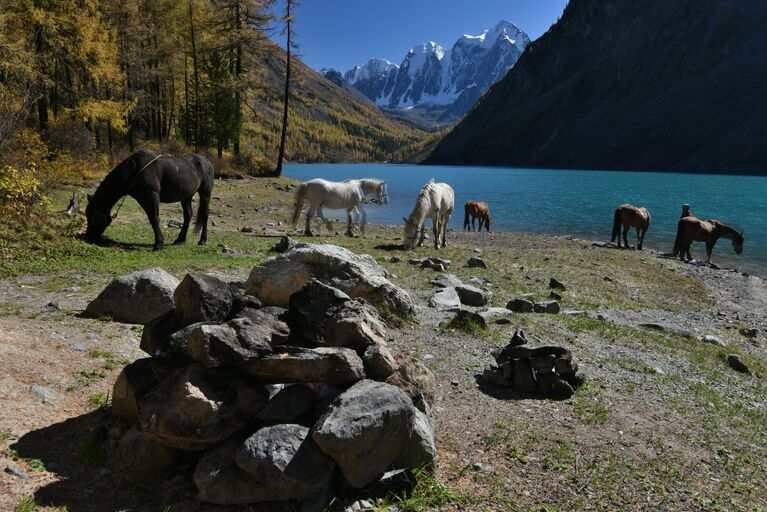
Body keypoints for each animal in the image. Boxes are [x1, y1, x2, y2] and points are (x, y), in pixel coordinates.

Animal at [85, 149, 214, 251]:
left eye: (91, 216)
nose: (88, 237)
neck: (134, 170)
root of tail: (207, 162)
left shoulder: (152, 197)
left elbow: (155, 219)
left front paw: (158, 245)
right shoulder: (143, 199)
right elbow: (152, 220)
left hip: (205, 194)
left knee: (205, 215)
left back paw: (202, 241)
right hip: (187, 196)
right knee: (188, 215)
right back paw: (180, 239)